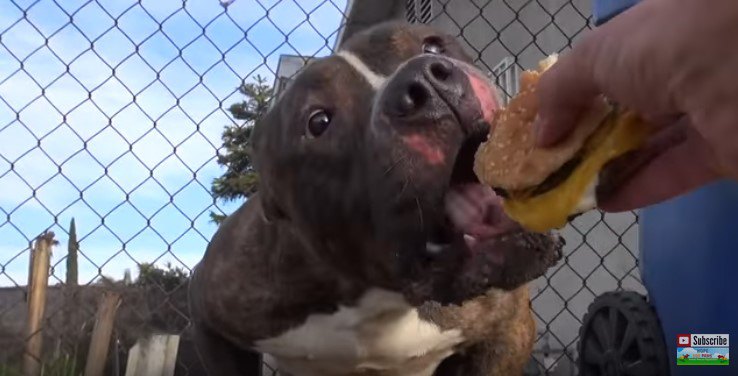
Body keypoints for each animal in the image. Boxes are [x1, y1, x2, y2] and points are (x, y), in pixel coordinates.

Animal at [187, 21, 560, 376]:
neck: (379, 297)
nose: (427, 83)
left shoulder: (507, 330)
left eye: (432, 45)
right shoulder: (214, 316)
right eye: (318, 122)